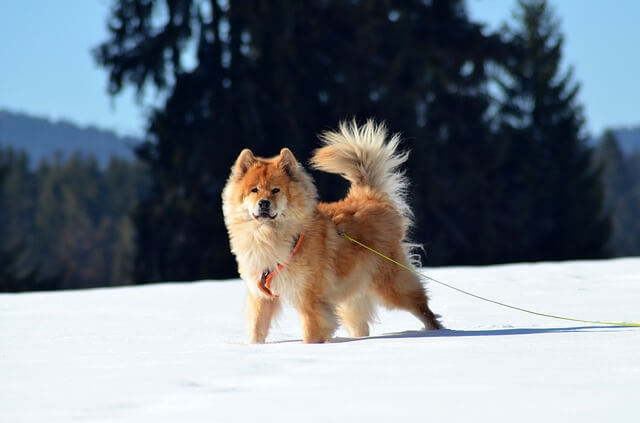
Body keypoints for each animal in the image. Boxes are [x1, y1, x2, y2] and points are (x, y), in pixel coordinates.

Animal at [221, 119, 440, 344]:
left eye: (276, 190)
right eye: (254, 190)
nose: (264, 203)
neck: (268, 236)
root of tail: (370, 196)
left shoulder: (309, 299)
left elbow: (310, 331)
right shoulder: (261, 296)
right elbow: (257, 329)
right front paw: (254, 347)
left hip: (391, 286)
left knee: (423, 308)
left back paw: (437, 332)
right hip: (351, 297)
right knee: (361, 325)